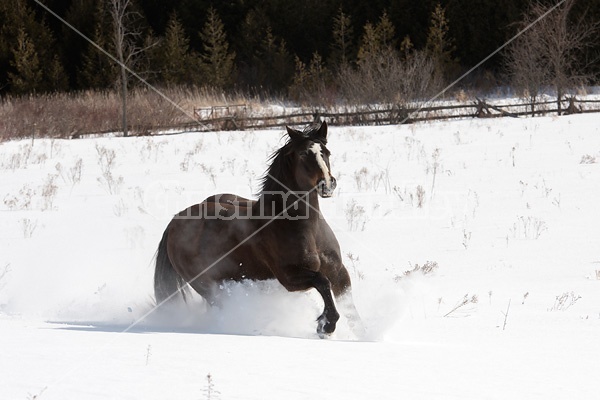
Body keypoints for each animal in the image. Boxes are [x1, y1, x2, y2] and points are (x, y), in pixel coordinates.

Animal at [152, 122, 364, 338]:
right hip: (207, 285)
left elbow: (350, 310)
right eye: (304, 154)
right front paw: (326, 325)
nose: (327, 185)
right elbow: (322, 282)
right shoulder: (289, 278)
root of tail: (174, 222)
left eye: (326, 152)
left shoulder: (338, 271)